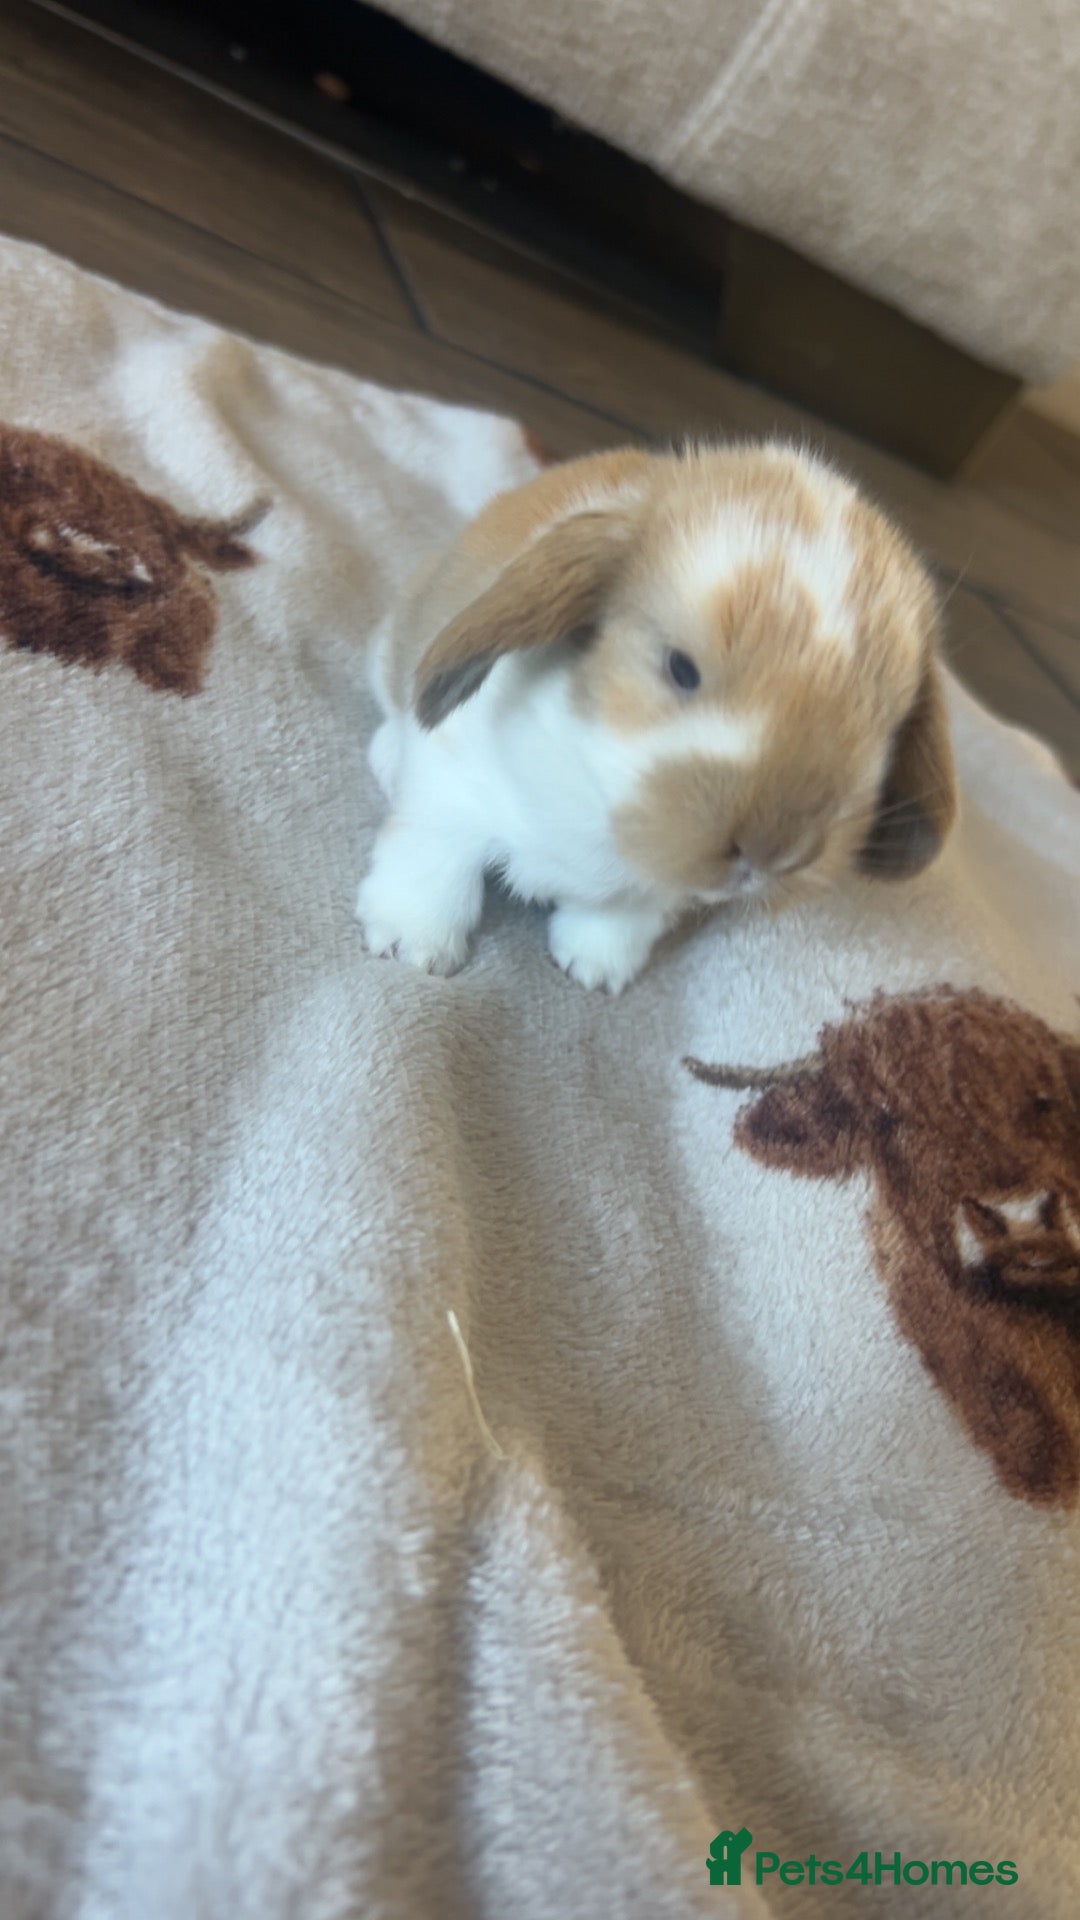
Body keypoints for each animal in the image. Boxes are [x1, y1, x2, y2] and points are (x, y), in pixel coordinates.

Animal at [356, 440, 957, 993]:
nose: (774, 851)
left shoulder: (651, 893)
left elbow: (620, 921)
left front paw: (594, 970)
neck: (600, 794)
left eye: (885, 728)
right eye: (681, 669)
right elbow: (435, 863)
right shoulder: (449, 791)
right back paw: (387, 760)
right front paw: (414, 946)